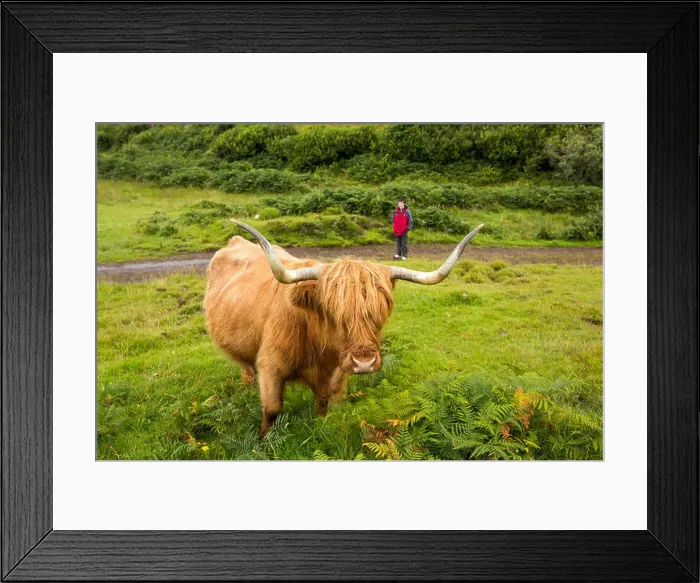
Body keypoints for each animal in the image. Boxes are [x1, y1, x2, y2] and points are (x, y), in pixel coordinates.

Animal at [204, 219, 484, 438]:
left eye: (381, 311)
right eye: (333, 312)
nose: (364, 362)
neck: (317, 346)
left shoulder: (337, 371)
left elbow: (325, 405)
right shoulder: (271, 366)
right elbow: (271, 410)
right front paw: (262, 443)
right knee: (245, 368)